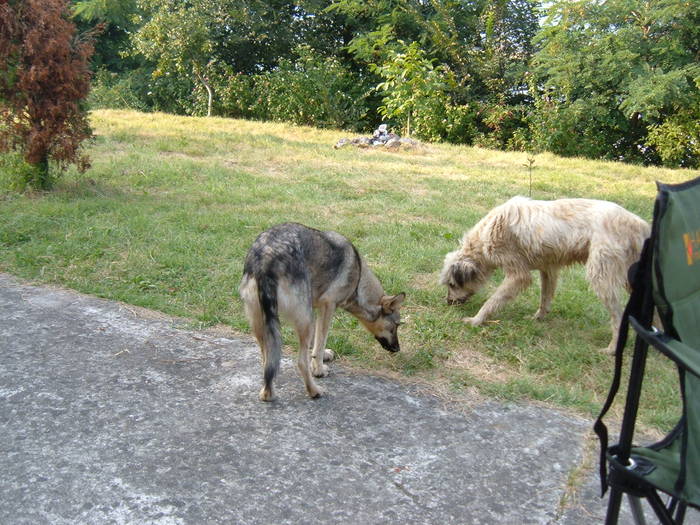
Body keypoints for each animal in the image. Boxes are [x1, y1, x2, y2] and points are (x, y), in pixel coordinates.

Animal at [241, 222, 404, 402]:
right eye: (396, 326)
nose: (397, 349)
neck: (358, 280)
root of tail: (266, 259)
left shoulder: (318, 309)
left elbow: (317, 344)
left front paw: (321, 357)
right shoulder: (328, 307)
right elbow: (320, 342)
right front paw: (319, 369)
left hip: (265, 325)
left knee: (268, 361)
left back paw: (267, 393)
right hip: (306, 321)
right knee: (300, 362)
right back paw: (314, 391)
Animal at [438, 196, 652, 352]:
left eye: (452, 284)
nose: (448, 302)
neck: (483, 238)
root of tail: (639, 224)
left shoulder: (518, 275)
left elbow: (493, 300)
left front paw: (476, 320)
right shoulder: (548, 269)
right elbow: (545, 297)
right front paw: (538, 317)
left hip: (601, 276)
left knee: (618, 317)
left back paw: (612, 350)